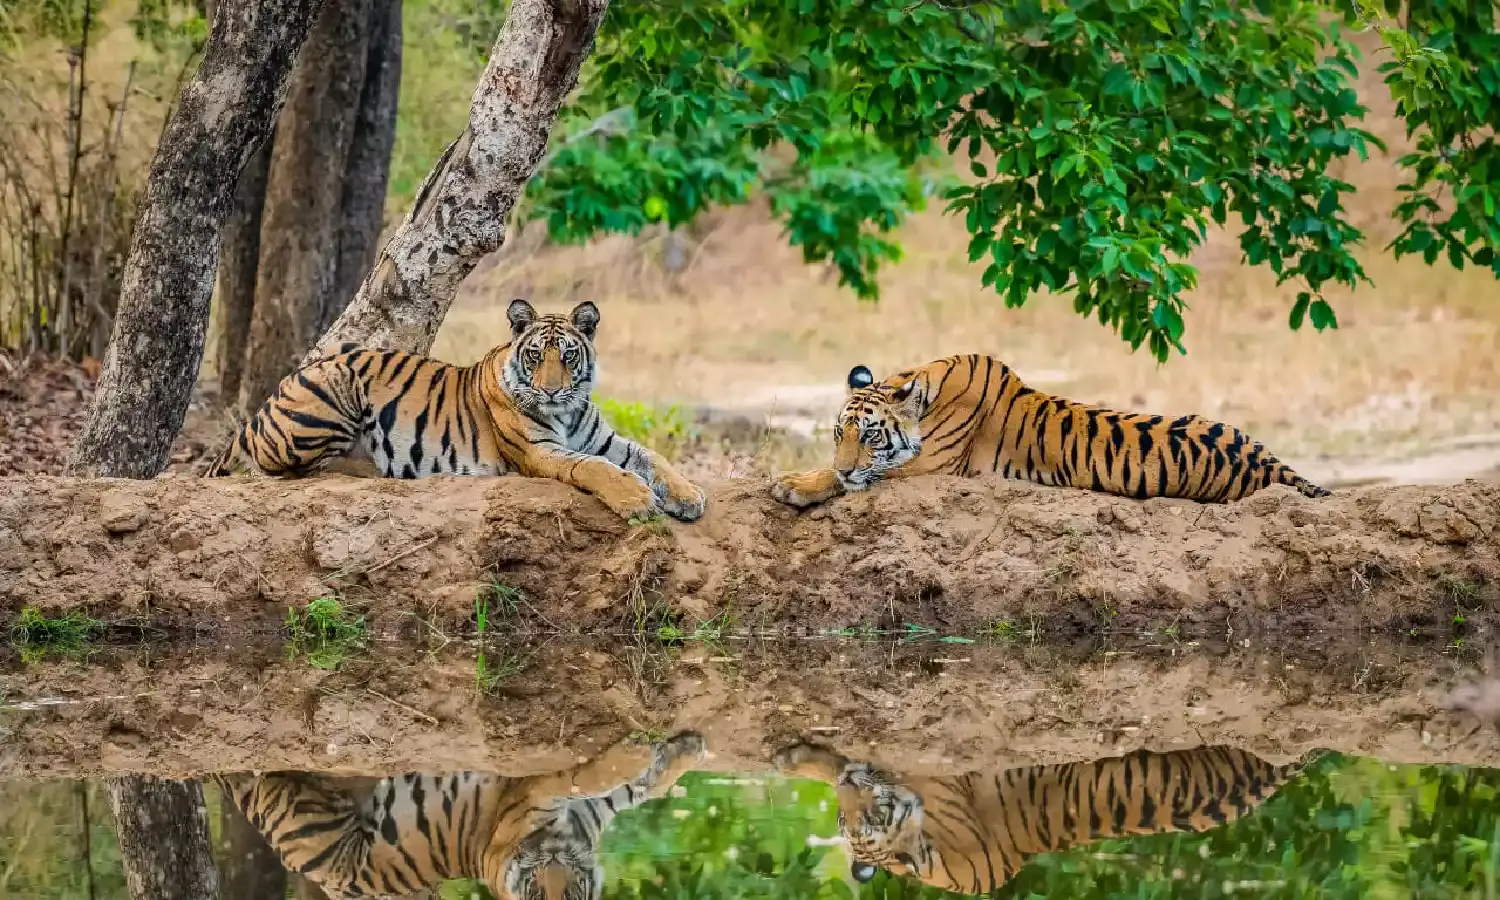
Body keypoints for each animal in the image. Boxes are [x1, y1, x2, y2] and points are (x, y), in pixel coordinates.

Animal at [203, 299, 707, 523]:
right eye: (535, 356)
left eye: (568, 356)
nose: (551, 392)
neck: (567, 413)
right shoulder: (541, 452)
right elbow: (594, 468)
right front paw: (637, 499)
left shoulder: (603, 439)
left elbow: (652, 456)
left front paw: (688, 495)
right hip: (335, 387)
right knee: (291, 470)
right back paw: (373, 469)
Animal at [211, 730, 706, 900]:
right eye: (537, 894)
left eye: (569, 895)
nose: (552, 870)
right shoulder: (528, 794)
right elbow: (584, 775)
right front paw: (641, 751)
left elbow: (637, 786)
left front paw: (681, 750)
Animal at [771, 354, 1329, 508]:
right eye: (837, 434)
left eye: (870, 436)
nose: (848, 465)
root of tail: (1268, 461)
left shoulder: (931, 467)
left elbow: (852, 478)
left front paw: (792, 484)